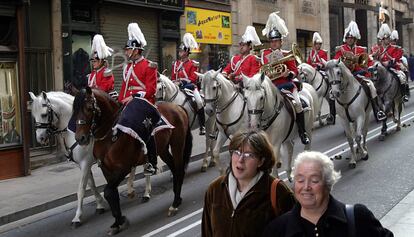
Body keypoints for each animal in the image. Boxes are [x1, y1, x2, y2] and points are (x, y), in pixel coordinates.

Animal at [73, 88, 192, 236]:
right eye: (74, 109)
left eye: (89, 108)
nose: (80, 138)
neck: (111, 134)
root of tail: (177, 107)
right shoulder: (106, 169)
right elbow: (111, 193)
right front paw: (117, 222)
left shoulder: (124, 168)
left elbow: (108, 191)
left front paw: (120, 220)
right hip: (163, 149)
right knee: (175, 170)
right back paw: (177, 200)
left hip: (177, 144)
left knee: (179, 170)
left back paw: (174, 204)